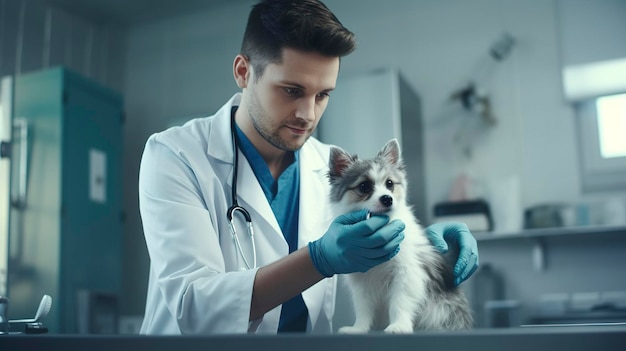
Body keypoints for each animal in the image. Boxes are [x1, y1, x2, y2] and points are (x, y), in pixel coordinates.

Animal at [330, 139, 470, 334]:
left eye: (390, 183)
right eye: (364, 186)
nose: (387, 198)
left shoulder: (406, 272)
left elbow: (400, 301)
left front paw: (399, 325)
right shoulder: (361, 280)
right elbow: (363, 306)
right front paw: (359, 328)